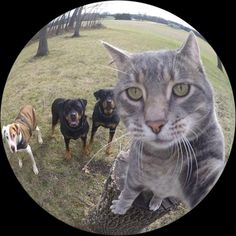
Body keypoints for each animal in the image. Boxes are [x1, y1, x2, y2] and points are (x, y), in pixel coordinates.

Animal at [102, 32, 226, 215]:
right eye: (134, 92)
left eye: (181, 89)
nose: (155, 123)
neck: (161, 159)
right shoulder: (133, 174)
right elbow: (128, 192)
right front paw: (121, 206)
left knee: (160, 194)